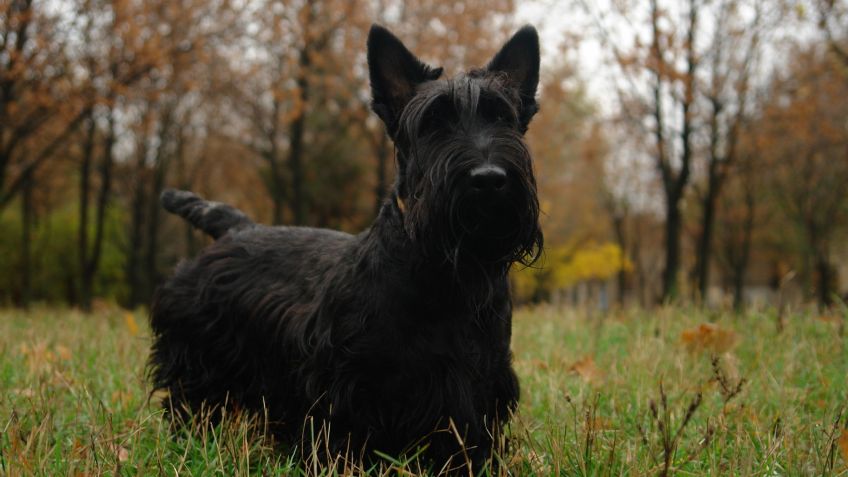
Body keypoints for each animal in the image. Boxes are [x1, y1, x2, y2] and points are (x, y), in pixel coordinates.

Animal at [148, 24, 540, 470]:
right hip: (198, 357)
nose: (489, 178)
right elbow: (340, 434)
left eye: (502, 117)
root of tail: (237, 228)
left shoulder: (481, 381)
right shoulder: (348, 383)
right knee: (190, 401)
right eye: (433, 122)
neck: (447, 271)